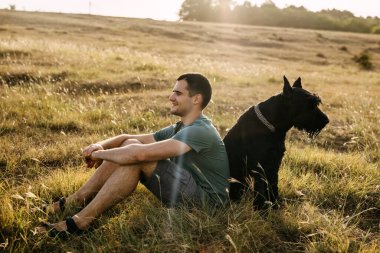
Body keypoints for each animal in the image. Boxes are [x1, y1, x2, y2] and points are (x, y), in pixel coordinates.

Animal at [224, 75, 328, 210]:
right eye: (309, 105)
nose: (326, 120)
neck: (274, 126)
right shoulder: (259, 166)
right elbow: (260, 189)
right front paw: (260, 208)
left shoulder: (274, 162)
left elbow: (273, 185)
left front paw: (274, 205)